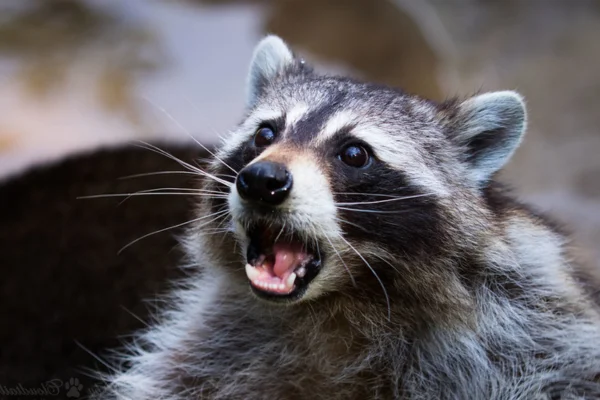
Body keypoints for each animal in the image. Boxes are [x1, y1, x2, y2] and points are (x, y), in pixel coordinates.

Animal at [101, 36, 600, 398]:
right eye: (266, 133)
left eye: (354, 153)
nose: (261, 179)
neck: (345, 303)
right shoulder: (219, 340)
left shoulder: (532, 318)